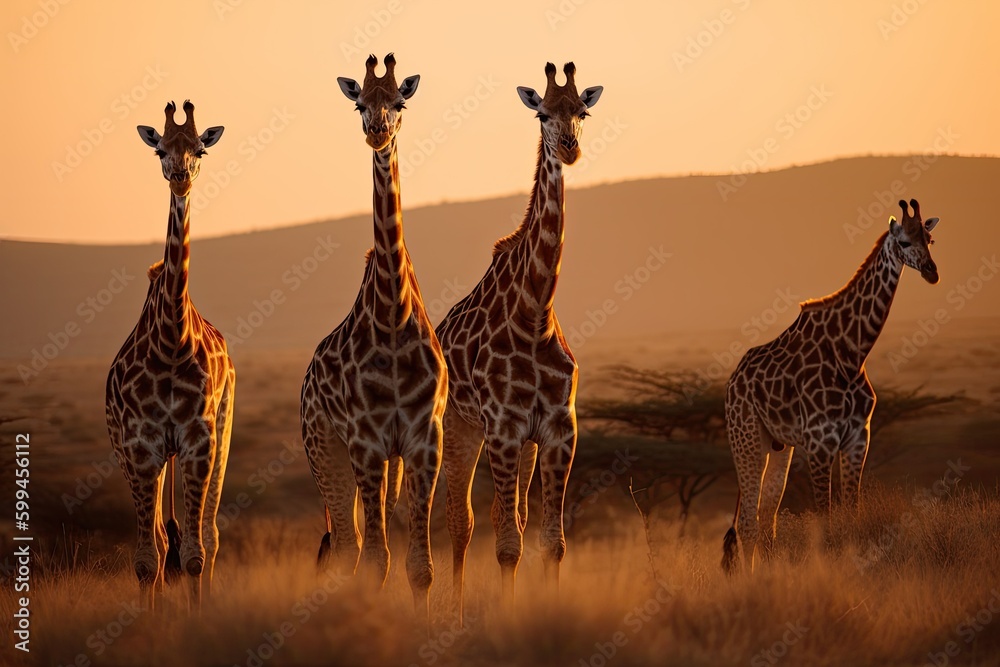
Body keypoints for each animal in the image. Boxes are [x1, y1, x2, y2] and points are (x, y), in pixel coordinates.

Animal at [106, 101, 235, 610]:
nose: (180, 175)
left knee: (208, 535)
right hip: (132, 452)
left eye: (200, 148)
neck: (171, 340)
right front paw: (151, 623)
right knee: (160, 542)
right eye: (160, 148)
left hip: (221, 434)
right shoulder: (141, 445)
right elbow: (148, 558)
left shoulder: (199, 439)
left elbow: (195, 553)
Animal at [300, 54, 447, 621]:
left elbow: (420, 567)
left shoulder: (424, 442)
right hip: (325, 451)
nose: (377, 132)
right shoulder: (364, 444)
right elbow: (377, 563)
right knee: (347, 547)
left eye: (400, 101)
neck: (392, 315)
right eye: (359, 103)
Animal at [435, 62, 602, 623]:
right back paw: (454, 610)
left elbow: (553, 542)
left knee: (509, 517)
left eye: (583, 111)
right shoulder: (504, 428)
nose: (570, 148)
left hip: (520, 444)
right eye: (542, 114)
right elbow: (506, 545)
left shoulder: (557, 429)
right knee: (462, 521)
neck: (535, 314)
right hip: (462, 430)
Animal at [721, 198, 941, 573]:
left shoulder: (857, 438)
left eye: (930, 240)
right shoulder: (819, 441)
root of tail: (734, 381)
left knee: (767, 518)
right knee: (747, 523)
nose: (931, 272)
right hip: (746, 438)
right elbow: (823, 519)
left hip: (779, 446)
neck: (852, 353)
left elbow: (851, 516)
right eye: (904, 242)